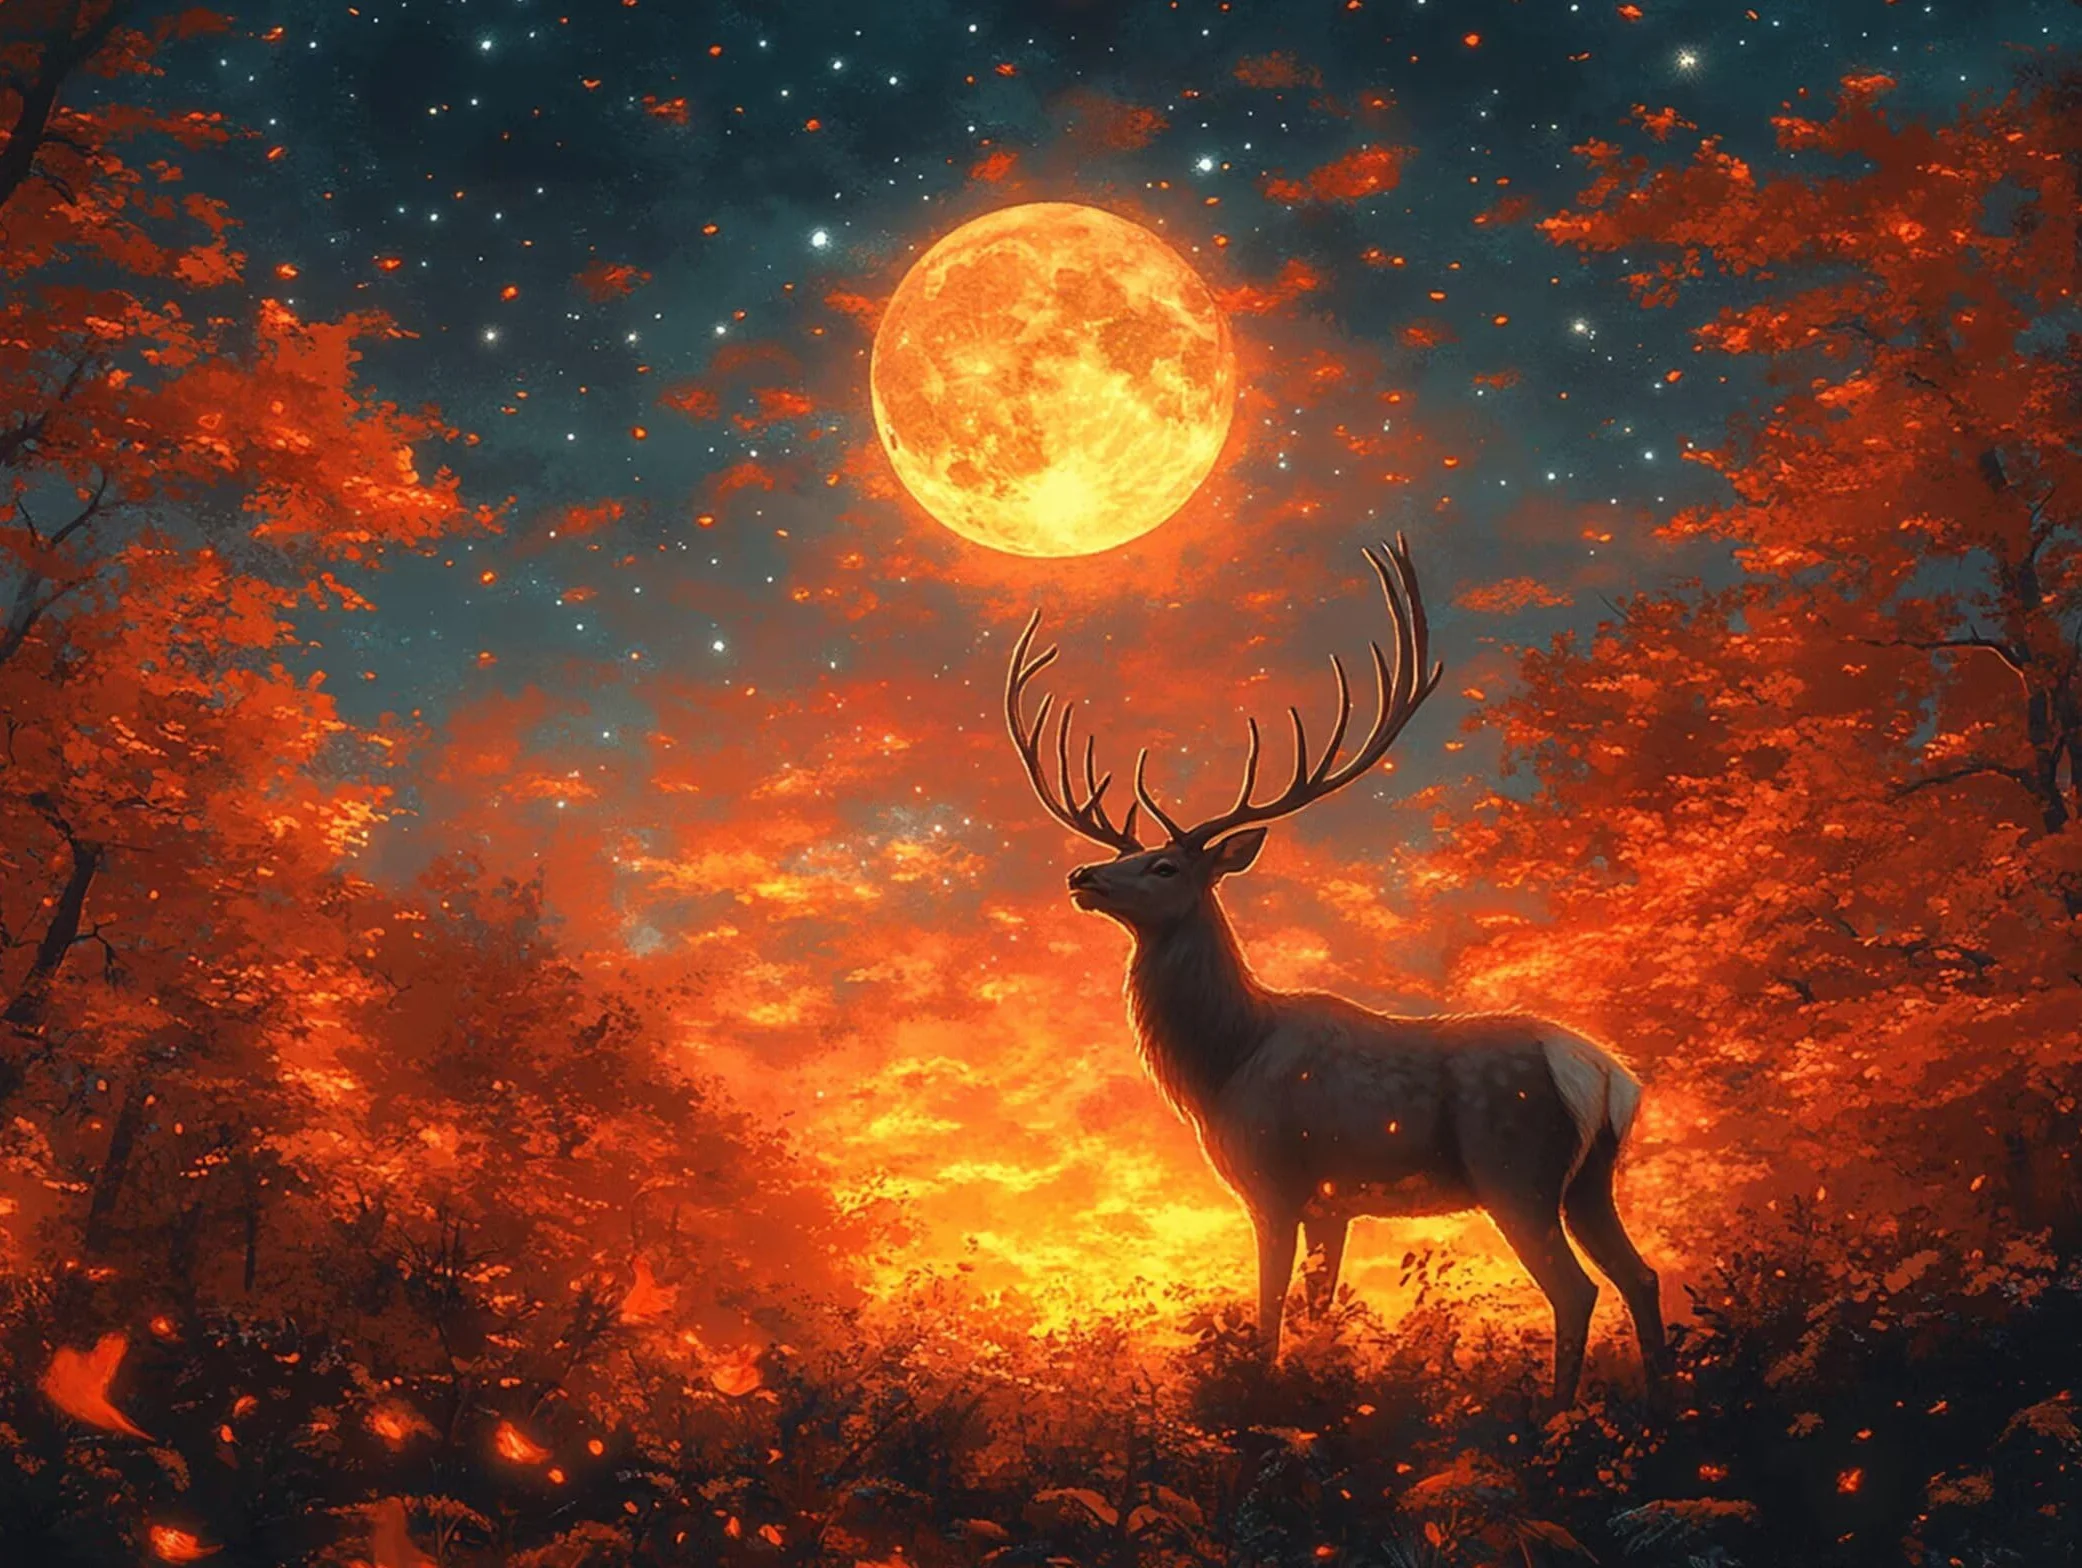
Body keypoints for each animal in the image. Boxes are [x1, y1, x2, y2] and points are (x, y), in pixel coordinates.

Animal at [1002, 536, 1668, 1407]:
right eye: (1127, 856)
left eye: (1166, 866)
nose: (1082, 876)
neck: (1223, 1063)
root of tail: (1607, 1075)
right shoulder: (1336, 1206)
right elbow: (1319, 1314)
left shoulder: (1277, 1182)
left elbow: (1269, 1315)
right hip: (1591, 1178)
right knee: (1642, 1275)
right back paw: (1666, 1405)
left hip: (1514, 1166)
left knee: (1576, 1287)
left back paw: (1557, 1420)